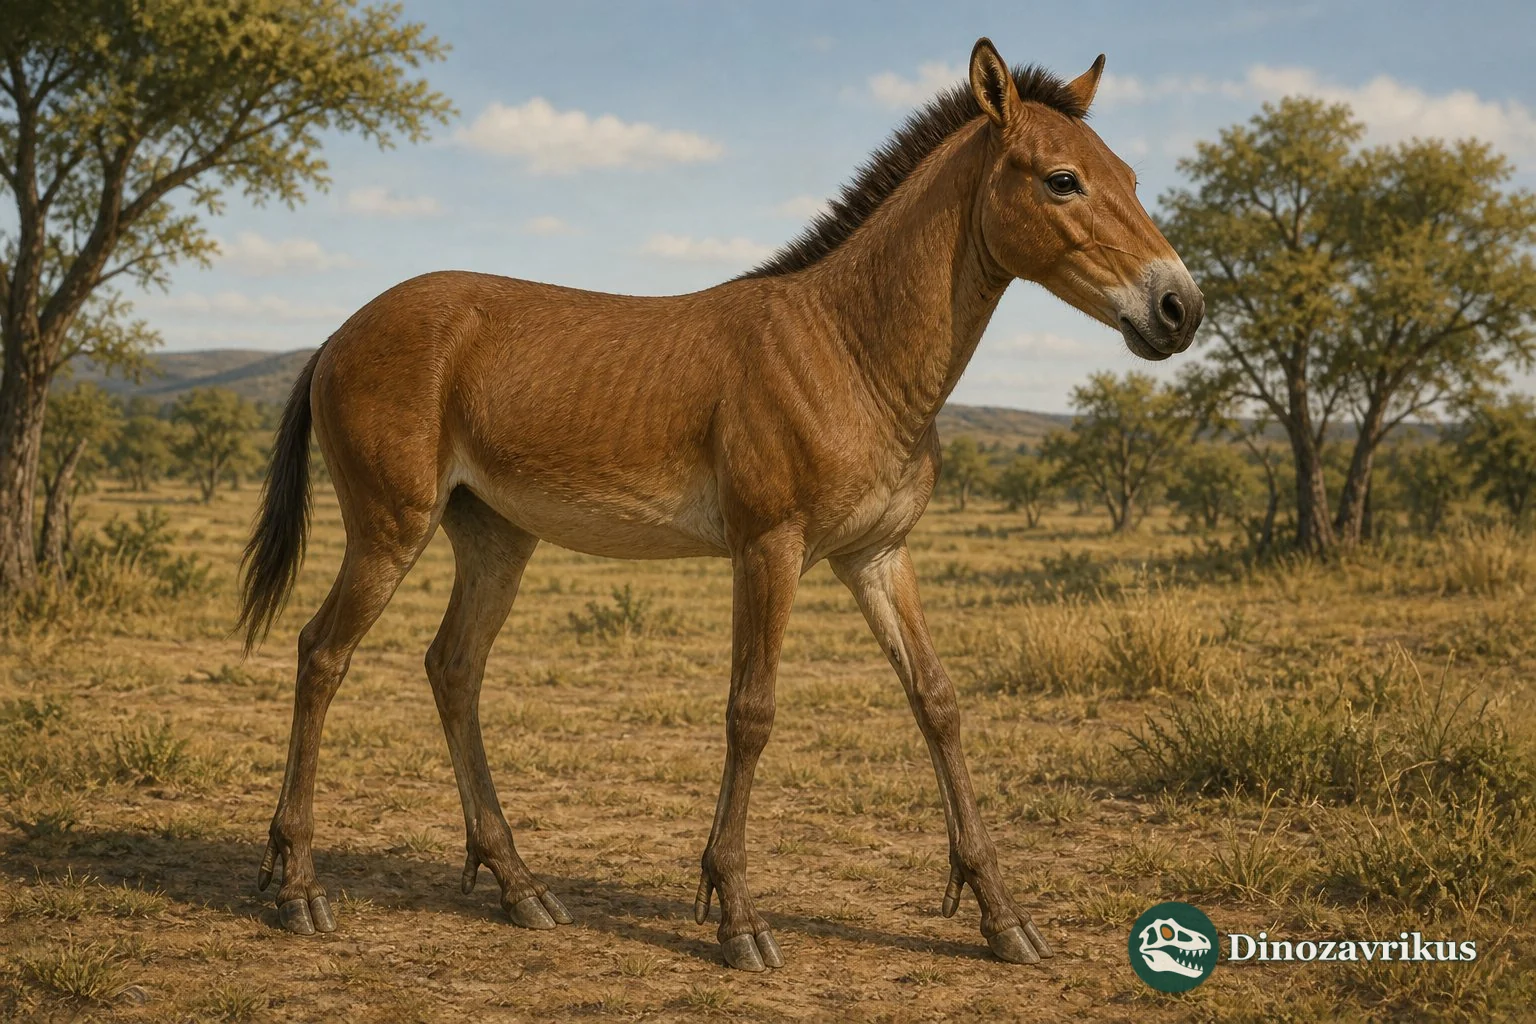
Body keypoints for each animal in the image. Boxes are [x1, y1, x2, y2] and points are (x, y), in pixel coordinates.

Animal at [238, 37, 1202, 972]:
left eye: (1130, 177)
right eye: (1062, 179)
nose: (1179, 307)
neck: (848, 347)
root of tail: (339, 333)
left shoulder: (877, 558)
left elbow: (937, 701)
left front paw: (1003, 918)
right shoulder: (770, 550)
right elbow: (752, 712)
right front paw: (736, 917)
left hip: (495, 540)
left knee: (453, 669)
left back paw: (519, 888)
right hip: (389, 532)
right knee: (322, 655)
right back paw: (298, 888)